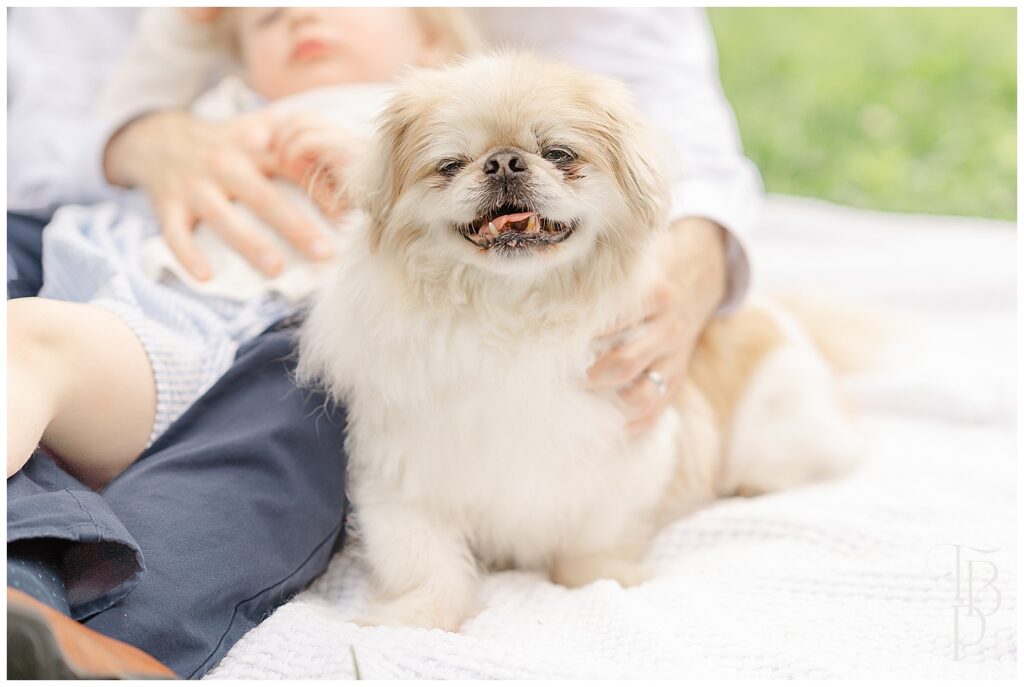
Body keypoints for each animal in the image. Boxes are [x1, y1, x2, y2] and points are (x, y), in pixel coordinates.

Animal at [299, 52, 864, 634]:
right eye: (451, 165)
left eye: (558, 154)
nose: (504, 162)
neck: (510, 314)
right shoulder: (401, 477)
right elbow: (424, 562)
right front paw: (415, 618)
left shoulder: (625, 458)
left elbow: (591, 546)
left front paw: (604, 580)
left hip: (777, 435)